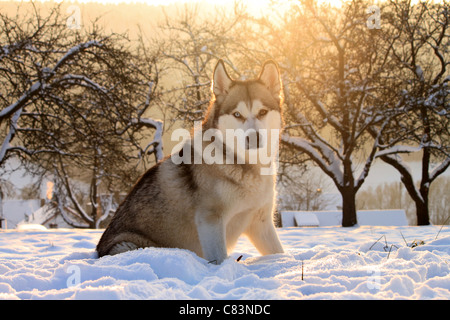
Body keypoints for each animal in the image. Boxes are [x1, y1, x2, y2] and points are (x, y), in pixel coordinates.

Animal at [96, 59, 284, 262]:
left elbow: (280, 252)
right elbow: (220, 258)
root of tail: (98, 251)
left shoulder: (261, 222)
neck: (245, 165)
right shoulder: (210, 220)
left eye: (262, 112)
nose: (254, 137)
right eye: (237, 114)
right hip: (132, 245)